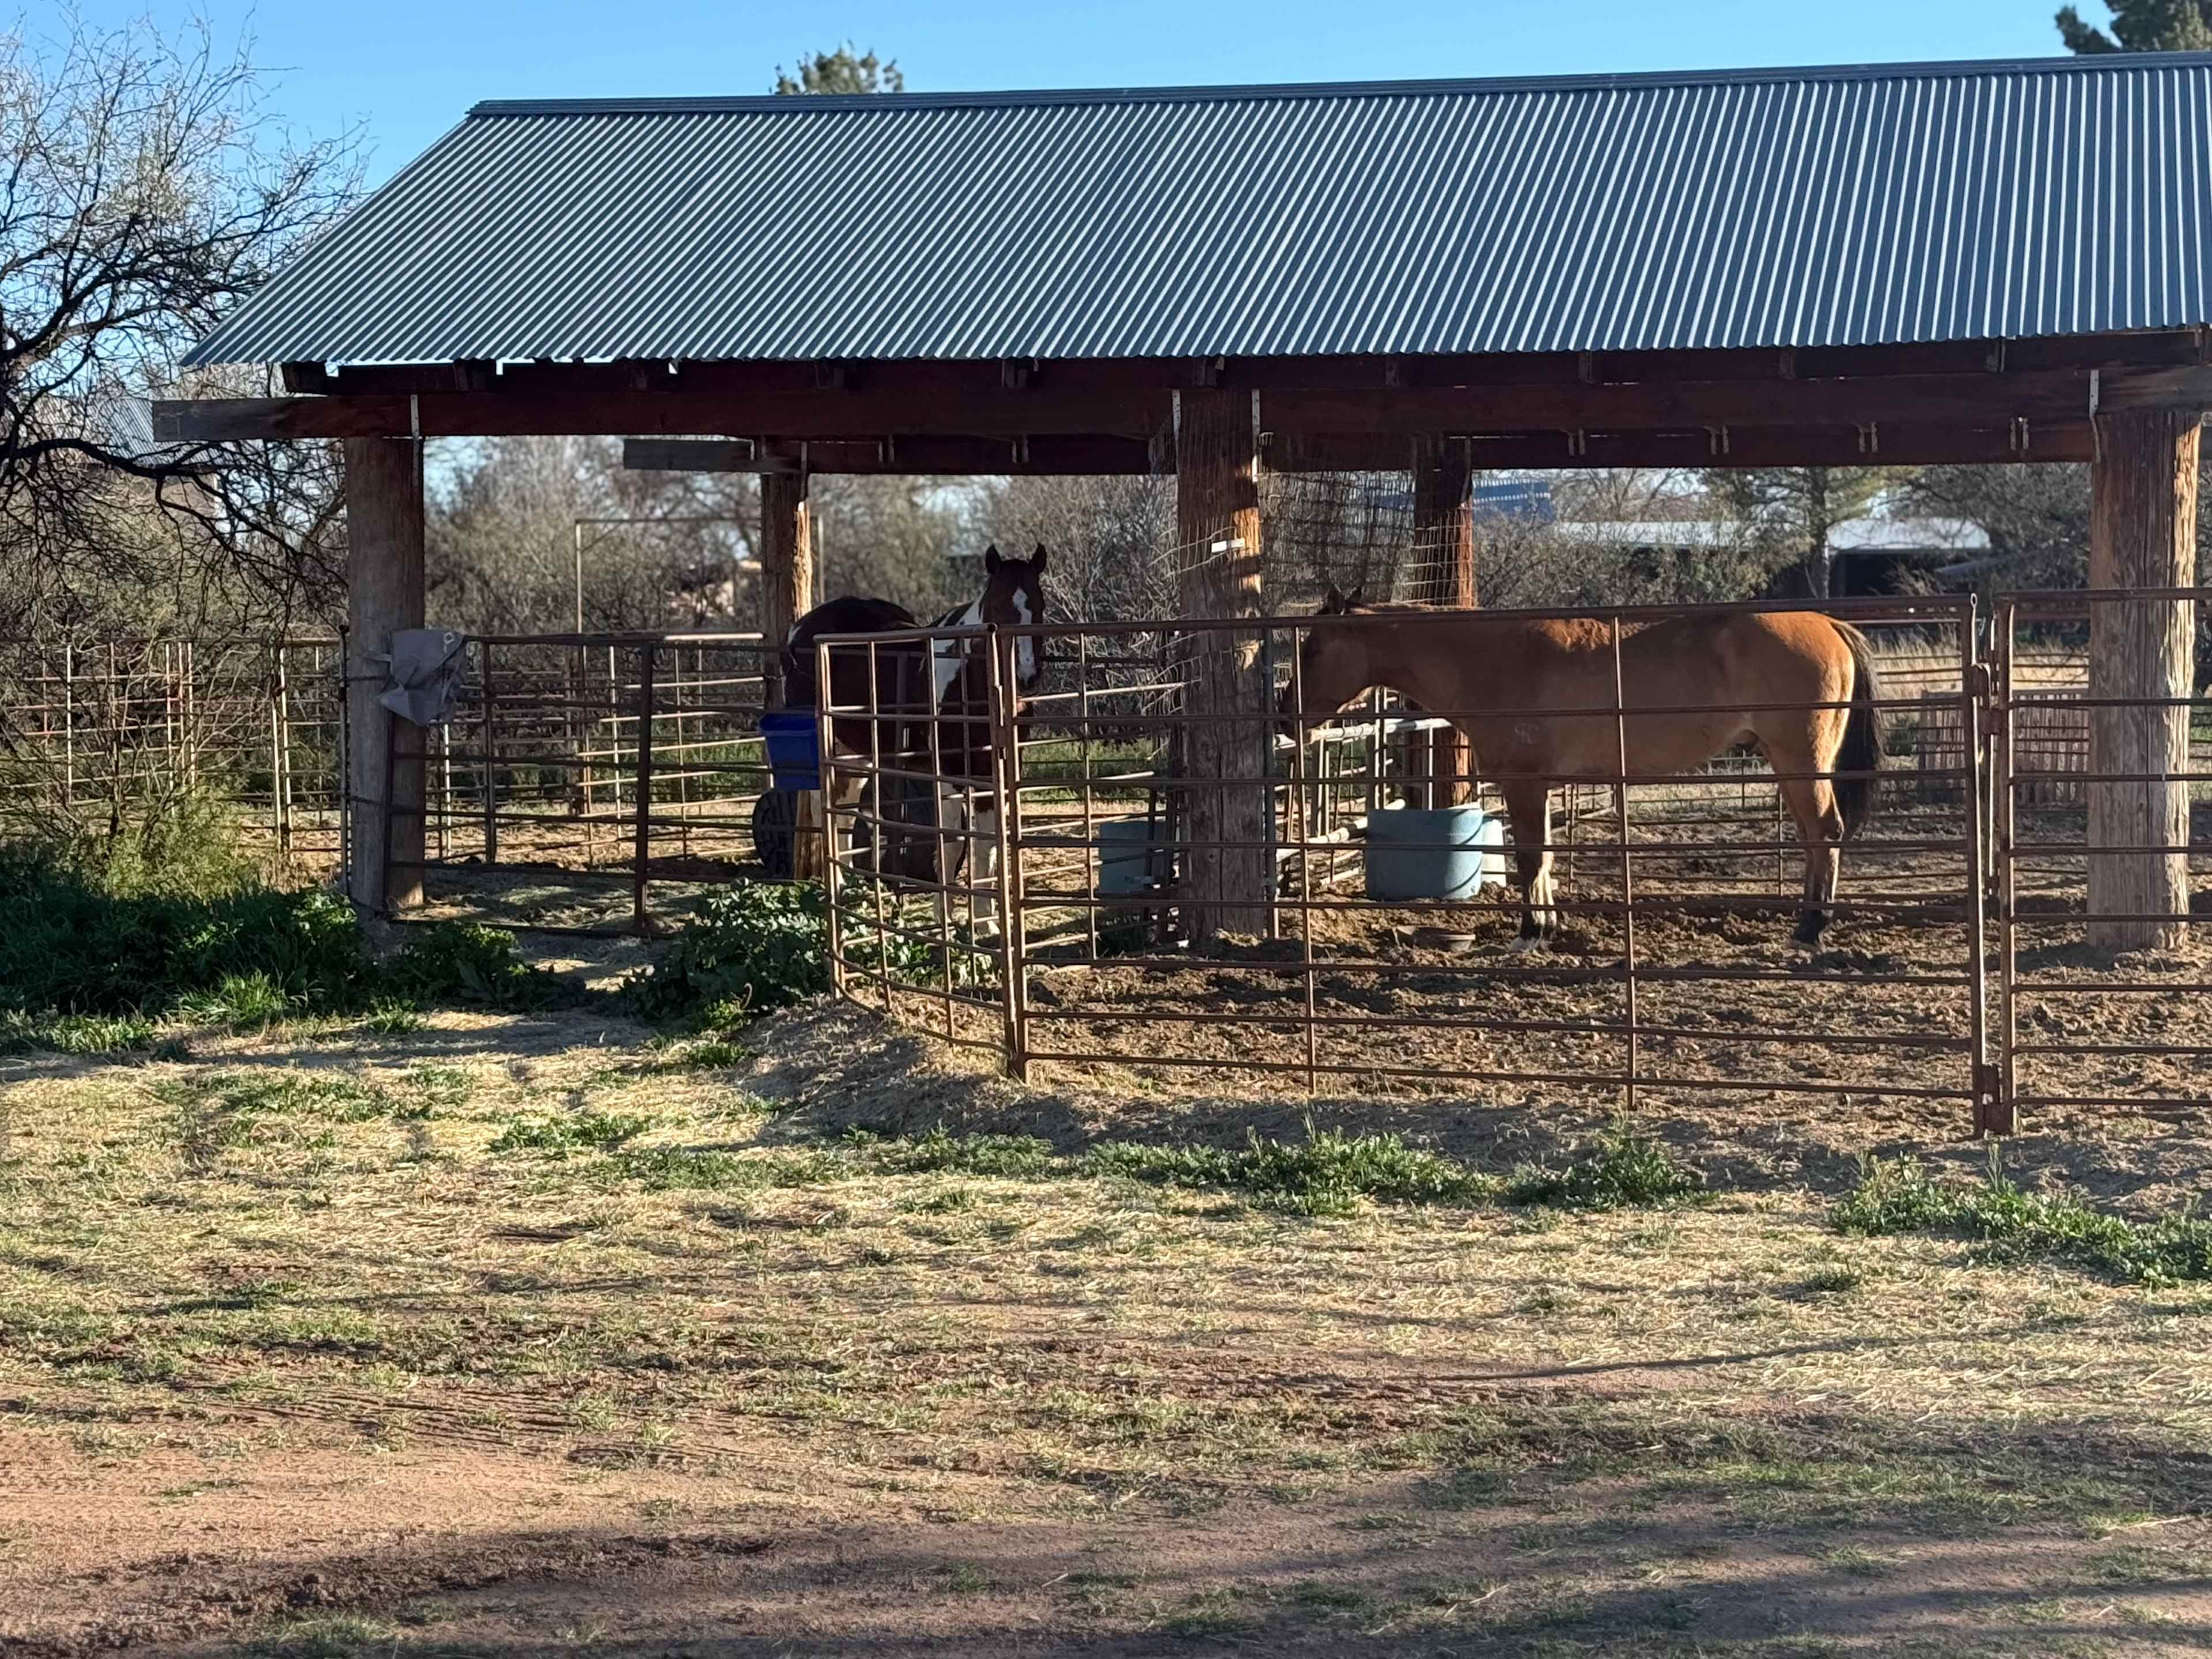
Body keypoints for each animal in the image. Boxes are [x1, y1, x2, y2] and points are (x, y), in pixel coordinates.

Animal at [1280, 589, 1882, 950]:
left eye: (1314, 649)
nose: (1286, 713)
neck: (1492, 659)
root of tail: (1829, 623)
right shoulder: (1541, 786)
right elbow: (1544, 858)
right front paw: (1546, 929)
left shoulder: (1523, 783)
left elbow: (1529, 859)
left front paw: (1528, 933)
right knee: (1813, 838)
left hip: (1800, 761)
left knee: (1824, 833)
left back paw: (1810, 930)